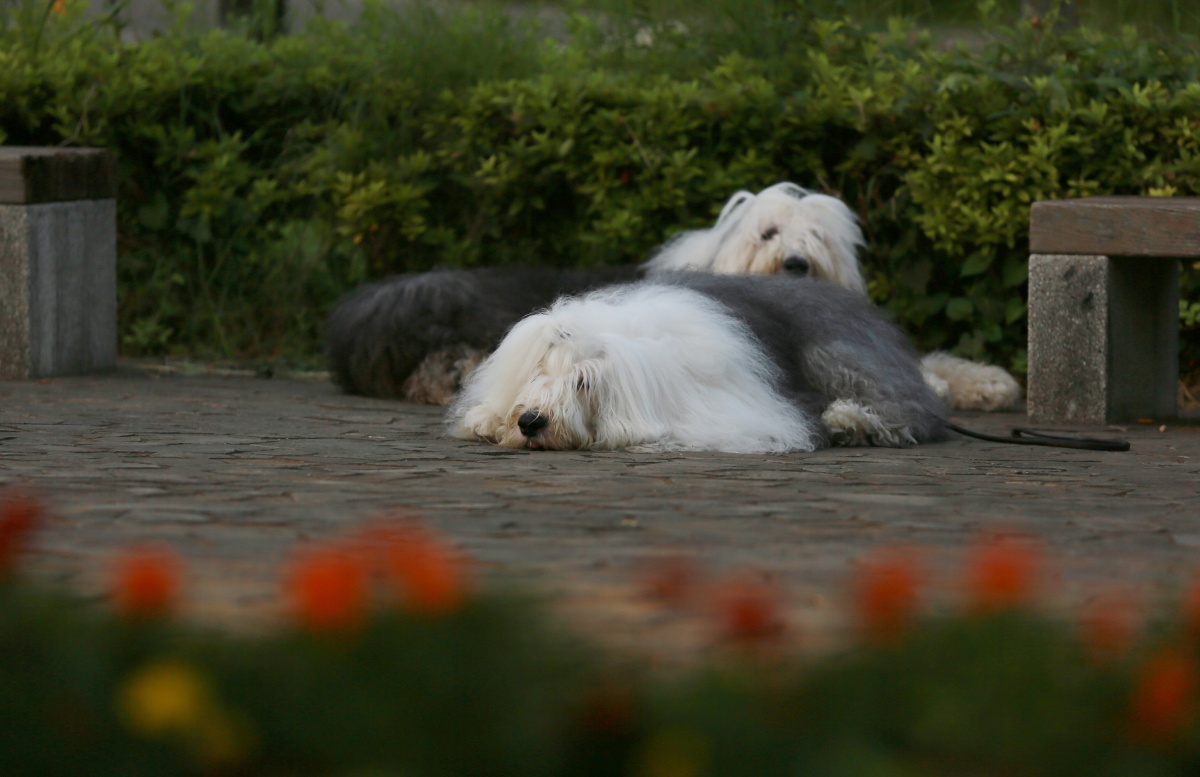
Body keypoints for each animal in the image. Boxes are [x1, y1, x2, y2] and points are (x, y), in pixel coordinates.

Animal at [449, 273, 948, 453]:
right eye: (539, 372)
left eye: (584, 383)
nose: (531, 422)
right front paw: (487, 420)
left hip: (837, 354)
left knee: (909, 409)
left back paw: (850, 421)